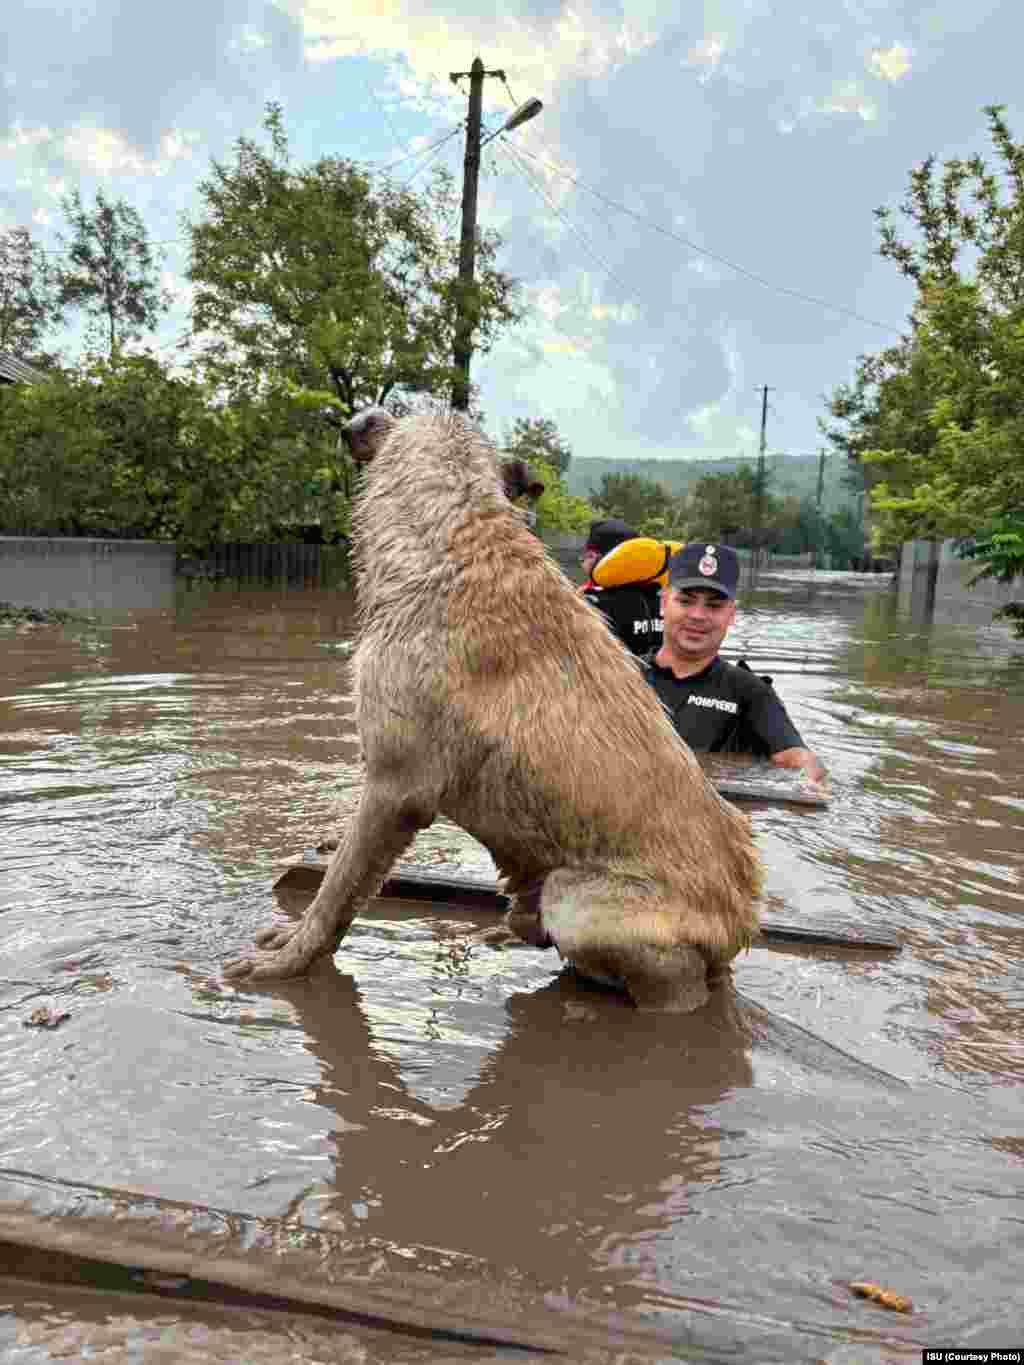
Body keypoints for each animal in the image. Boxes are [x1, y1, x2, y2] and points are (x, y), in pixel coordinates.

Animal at [226, 409, 770, 1010]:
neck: (453, 535)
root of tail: (742, 921)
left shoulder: (394, 788)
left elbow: (336, 891)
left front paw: (288, 961)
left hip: (578, 901)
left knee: (678, 984)